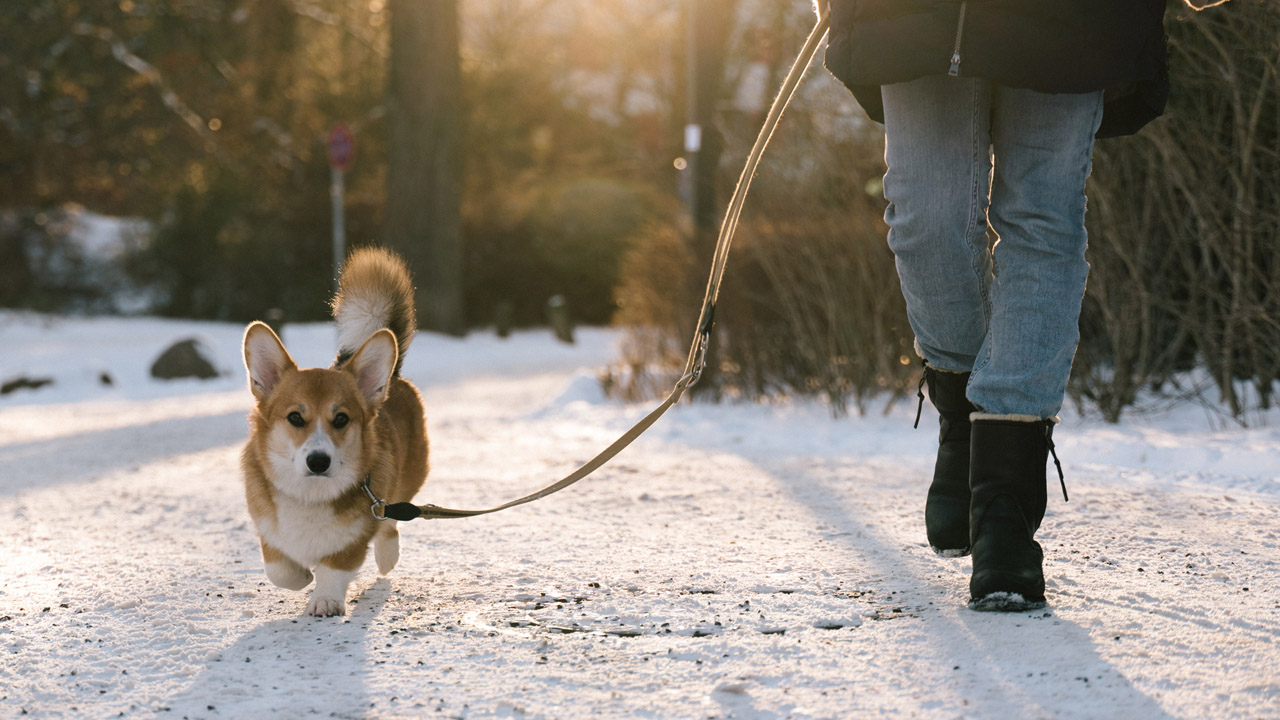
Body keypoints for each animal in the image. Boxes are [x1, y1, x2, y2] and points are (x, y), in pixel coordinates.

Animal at [241, 248, 432, 617]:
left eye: (341, 419)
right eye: (295, 417)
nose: (318, 461)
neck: (311, 494)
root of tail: (393, 376)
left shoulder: (356, 535)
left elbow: (334, 567)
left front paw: (325, 600)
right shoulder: (267, 529)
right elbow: (279, 570)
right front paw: (302, 576)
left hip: (403, 480)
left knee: (391, 519)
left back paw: (387, 557)